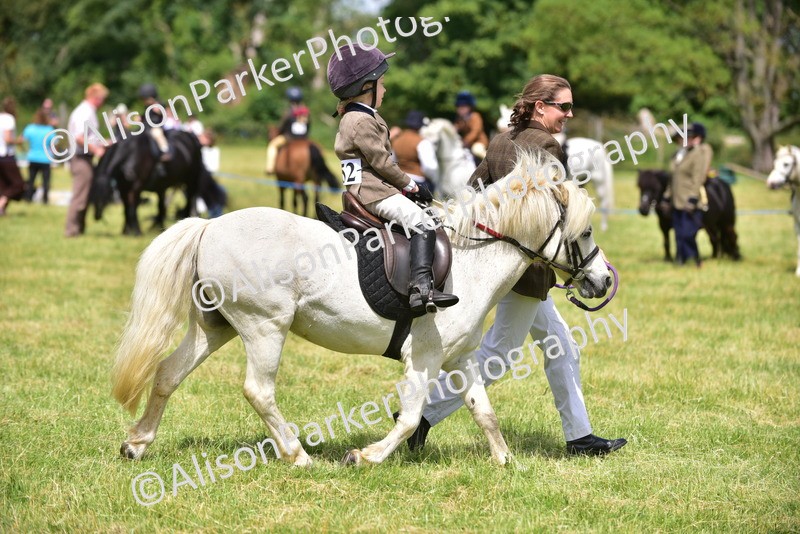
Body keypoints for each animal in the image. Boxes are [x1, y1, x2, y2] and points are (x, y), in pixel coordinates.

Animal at [111, 149, 611, 467]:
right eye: (585, 231)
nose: (604, 280)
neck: (471, 258)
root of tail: (210, 226)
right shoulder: (424, 356)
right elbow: (409, 418)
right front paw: (365, 456)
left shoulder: (461, 357)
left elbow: (481, 408)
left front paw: (505, 461)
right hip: (264, 328)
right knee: (258, 391)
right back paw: (298, 455)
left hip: (215, 327)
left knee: (168, 372)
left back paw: (137, 444)